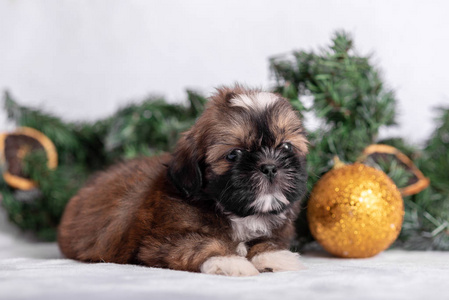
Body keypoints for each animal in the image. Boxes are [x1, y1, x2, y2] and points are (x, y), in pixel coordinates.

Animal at [57, 85, 306, 276]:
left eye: (286, 147)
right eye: (234, 154)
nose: (270, 167)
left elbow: (266, 240)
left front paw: (273, 256)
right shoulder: (158, 242)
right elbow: (200, 243)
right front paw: (229, 261)